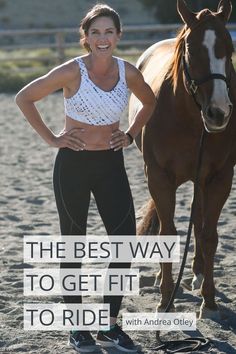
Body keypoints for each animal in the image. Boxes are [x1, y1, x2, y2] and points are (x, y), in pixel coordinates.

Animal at [129, 0, 236, 318]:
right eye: (191, 48)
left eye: (229, 47)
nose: (218, 113)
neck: (189, 119)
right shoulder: (159, 177)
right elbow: (167, 232)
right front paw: (166, 298)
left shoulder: (219, 178)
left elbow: (210, 235)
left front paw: (209, 301)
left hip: (200, 179)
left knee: (199, 222)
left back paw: (198, 274)